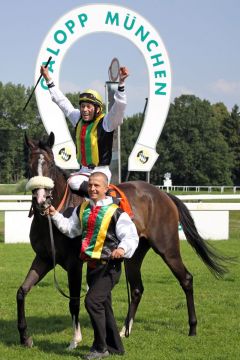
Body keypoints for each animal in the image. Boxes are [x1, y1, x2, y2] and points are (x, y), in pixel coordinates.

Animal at [16, 132, 227, 348]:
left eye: (50, 164)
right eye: (29, 166)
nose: (41, 201)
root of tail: (163, 194)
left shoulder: (74, 264)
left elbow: (73, 300)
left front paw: (75, 340)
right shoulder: (44, 258)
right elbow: (22, 292)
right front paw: (25, 337)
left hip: (167, 249)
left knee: (186, 279)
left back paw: (192, 327)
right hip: (133, 255)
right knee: (137, 289)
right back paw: (124, 330)